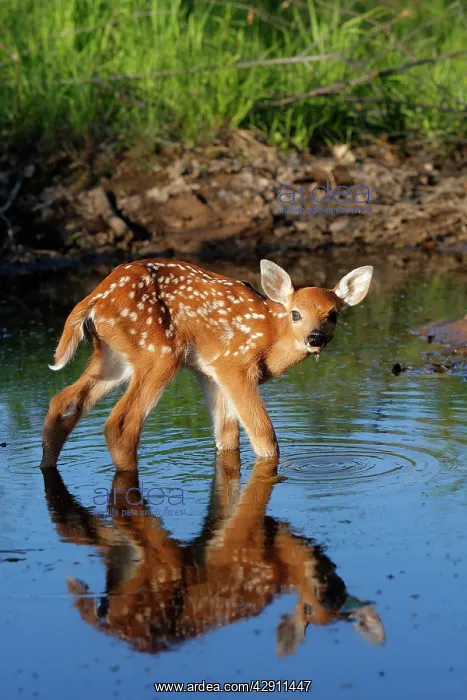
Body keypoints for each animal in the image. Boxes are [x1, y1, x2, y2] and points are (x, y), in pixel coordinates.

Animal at [41, 258, 373, 470]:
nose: (315, 338)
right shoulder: (234, 365)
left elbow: (227, 436)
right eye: (295, 313)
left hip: (113, 356)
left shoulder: (211, 372)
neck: (269, 338)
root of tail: (95, 298)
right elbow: (264, 435)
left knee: (62, 401)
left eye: (333, 314)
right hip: (159, 353)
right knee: (120, 425)